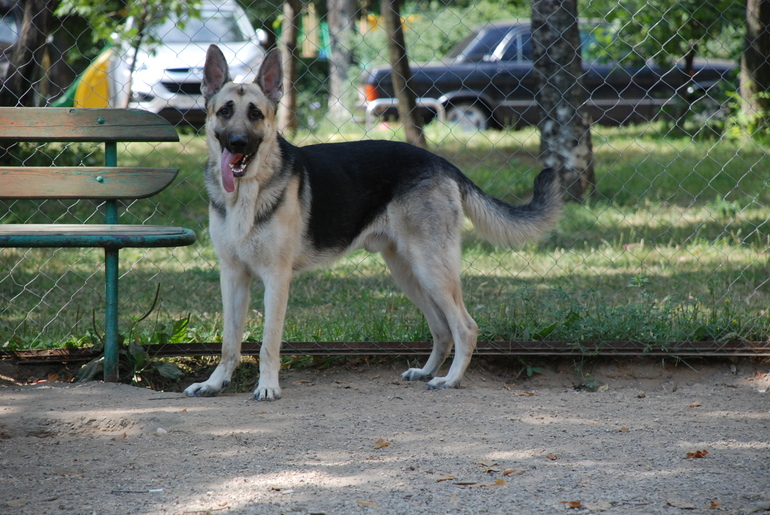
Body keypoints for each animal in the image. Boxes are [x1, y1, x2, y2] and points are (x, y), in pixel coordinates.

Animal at [183, 45, 563, 401]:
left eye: (255, 114)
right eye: (225, 111)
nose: (237, 143)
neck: (247, 193)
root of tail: (440, 161)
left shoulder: (277, 279)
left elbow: (268, 343)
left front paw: (267, 387)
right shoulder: (233, 277)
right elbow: (229, 343)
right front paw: (215, 383)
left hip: (430, 268)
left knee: (465, 327)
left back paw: (450, 379)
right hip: (407, 272)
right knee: (442, 329)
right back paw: (427, 372)